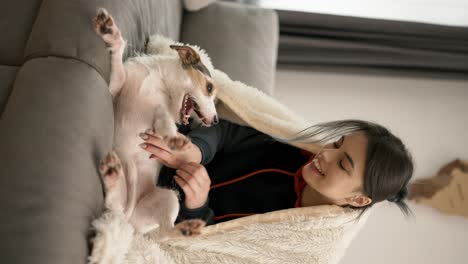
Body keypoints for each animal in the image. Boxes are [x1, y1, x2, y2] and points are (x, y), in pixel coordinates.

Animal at [94, 7, 219, 239]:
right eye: (209, 88)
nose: (215, 120)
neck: (160, 80)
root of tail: (129, 221)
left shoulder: (159, 113)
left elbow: (163, 119)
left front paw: (174, 138)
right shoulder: (115, 87)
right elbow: (117, 57)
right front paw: (110, 33)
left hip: (169, 198)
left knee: (167, 231)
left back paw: (187, 228)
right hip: (137, 198)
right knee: (114, 203)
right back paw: (112, 174)